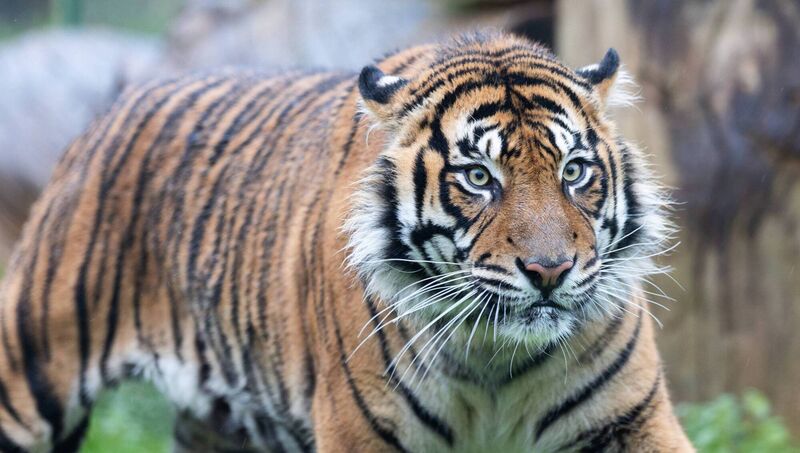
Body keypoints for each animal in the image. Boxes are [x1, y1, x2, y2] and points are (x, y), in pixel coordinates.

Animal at [0, 31, 692, 452]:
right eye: (478, 178)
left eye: (574, 171)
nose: (549, 270)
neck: (495, 361)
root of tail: (115, 108)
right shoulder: (362, 431)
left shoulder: (633, 420)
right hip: (28, 373)